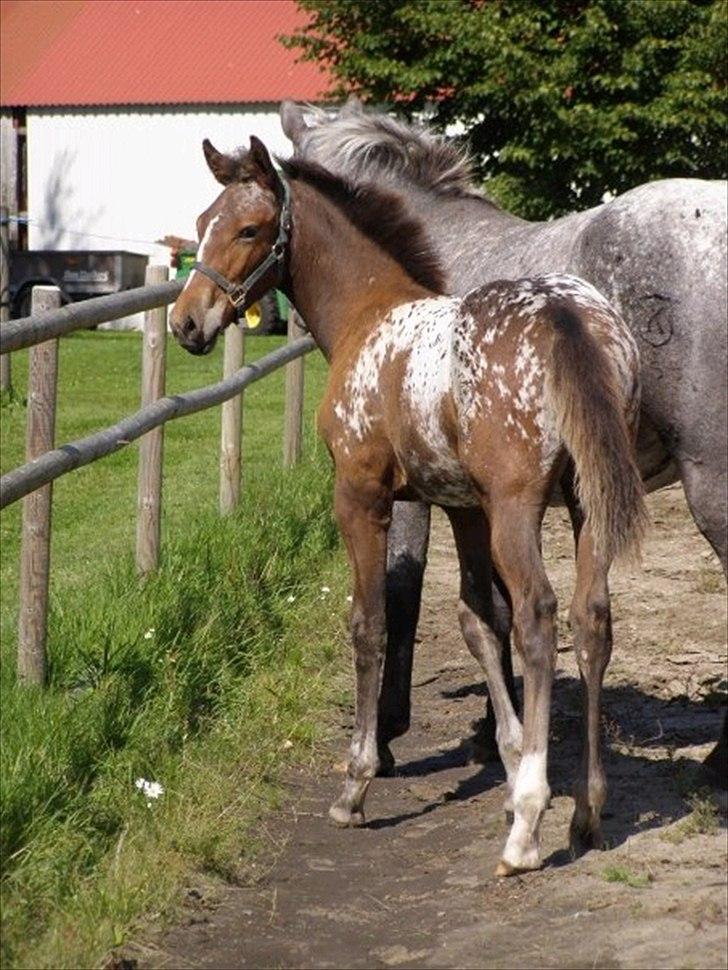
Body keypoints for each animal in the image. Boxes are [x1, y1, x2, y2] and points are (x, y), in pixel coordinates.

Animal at [172, 138, 648, 876]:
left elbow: (370, 624)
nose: (186, 323)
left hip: (520, 506)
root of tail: (565, 314)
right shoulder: (464, 508)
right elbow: (478, 621)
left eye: (248, 230)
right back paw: (586, 812)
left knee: (540, 618)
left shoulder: (361, 496)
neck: (367, 314)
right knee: (590, 619)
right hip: (584, 501)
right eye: (202, 222)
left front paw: (357, 782)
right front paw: (511, 755)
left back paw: (525, 833)